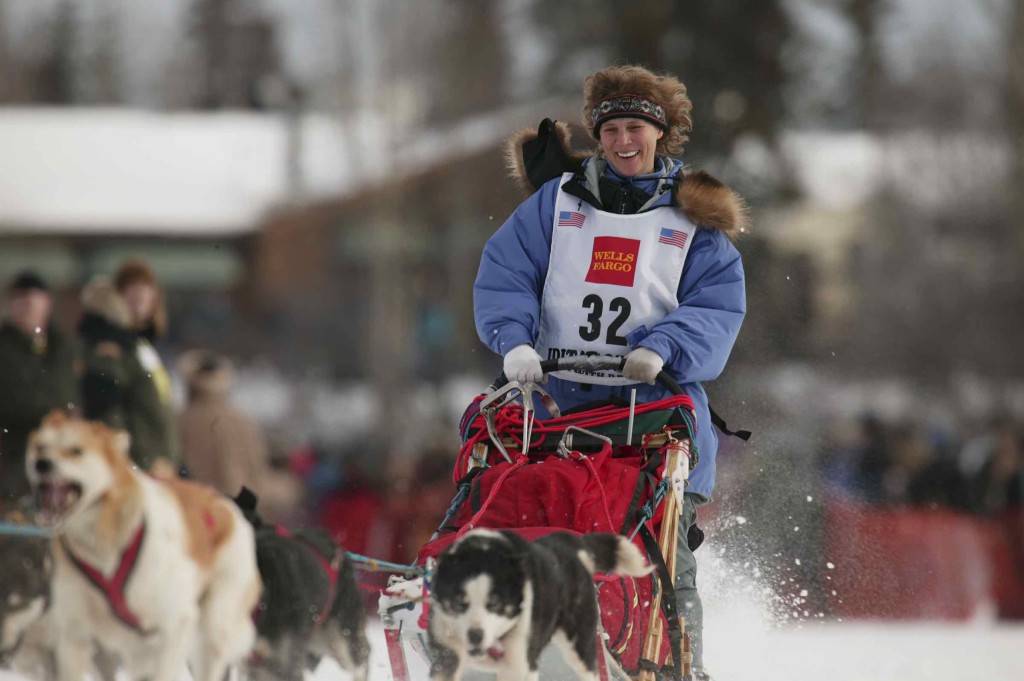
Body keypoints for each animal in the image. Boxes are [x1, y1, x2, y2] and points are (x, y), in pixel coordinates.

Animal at [27, 411, 262, 681]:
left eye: (76, 450)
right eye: (40, 447)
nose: (42, 463)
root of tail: (225, 506)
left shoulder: (176, 624)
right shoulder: (74, 634)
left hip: (213, 627)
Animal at [423, 532, 647, 679]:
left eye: (494, 602)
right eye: (459, 600)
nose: (475, 635)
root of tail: (572, 542)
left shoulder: (519, 665)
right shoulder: (446, 656)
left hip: (580, 647)